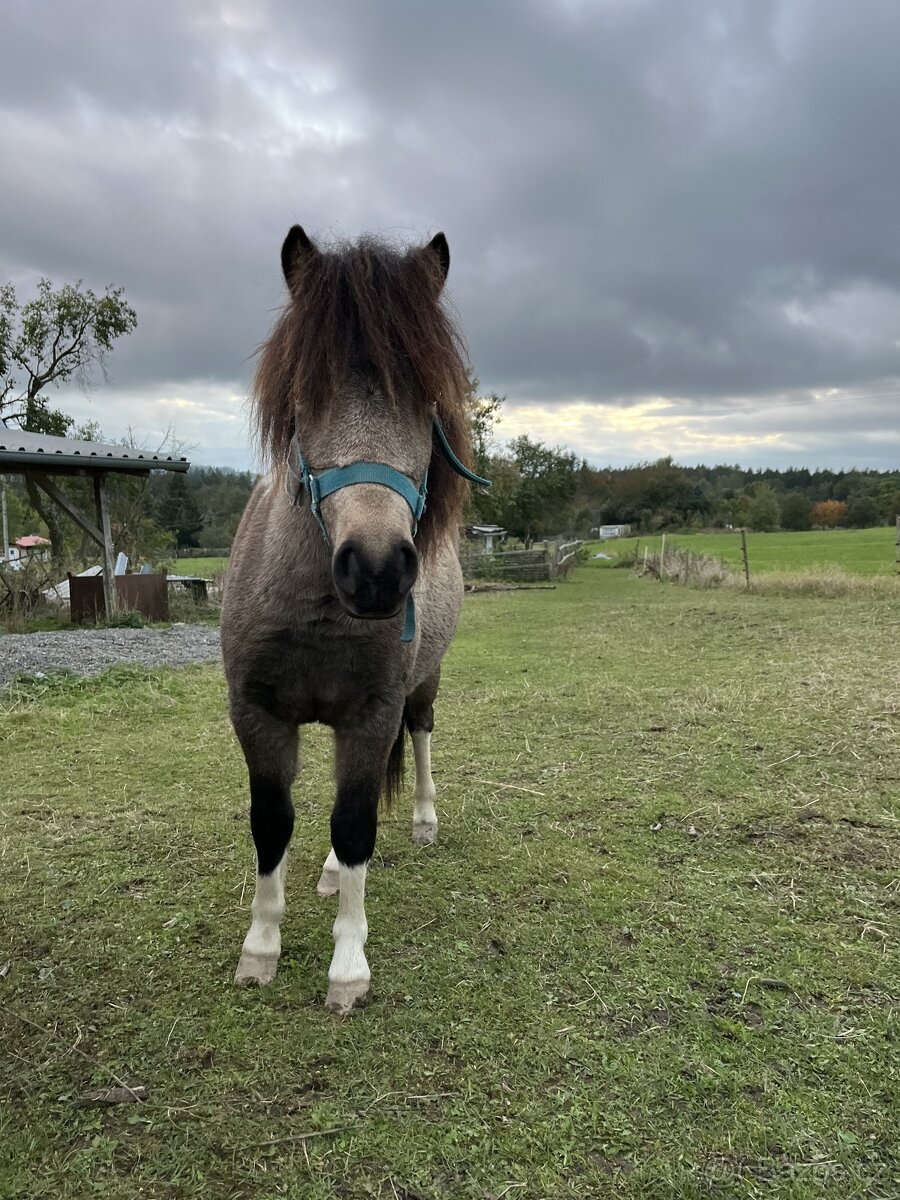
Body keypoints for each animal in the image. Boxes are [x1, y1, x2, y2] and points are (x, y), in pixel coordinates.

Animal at [220, 225, 488, 1013]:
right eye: (306, 395)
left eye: (424, 398)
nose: (375, 568)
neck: (316, 611)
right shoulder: (256, 714)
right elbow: (273, 823)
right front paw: (261, 948)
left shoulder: (372, 716)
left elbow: (356, 821)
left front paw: (347, 967)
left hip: (421, 687)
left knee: (421, 738)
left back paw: (424, 821)